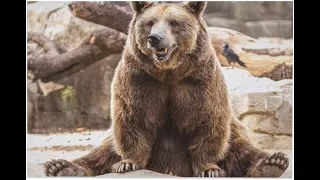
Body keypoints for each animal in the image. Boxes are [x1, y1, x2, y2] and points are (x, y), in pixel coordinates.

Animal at [43, 0, 290, 176]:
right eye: (150, 22)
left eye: (174, 22)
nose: (155, 38)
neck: (169, 72)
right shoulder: (139, 80)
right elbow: (132, 119)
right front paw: (128, 163)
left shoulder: (200, 82)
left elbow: (207, 120)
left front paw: (209, 169)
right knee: (101, 152)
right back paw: (61, 166)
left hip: (235, 133)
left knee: (242, 150)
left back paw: (272, 163)